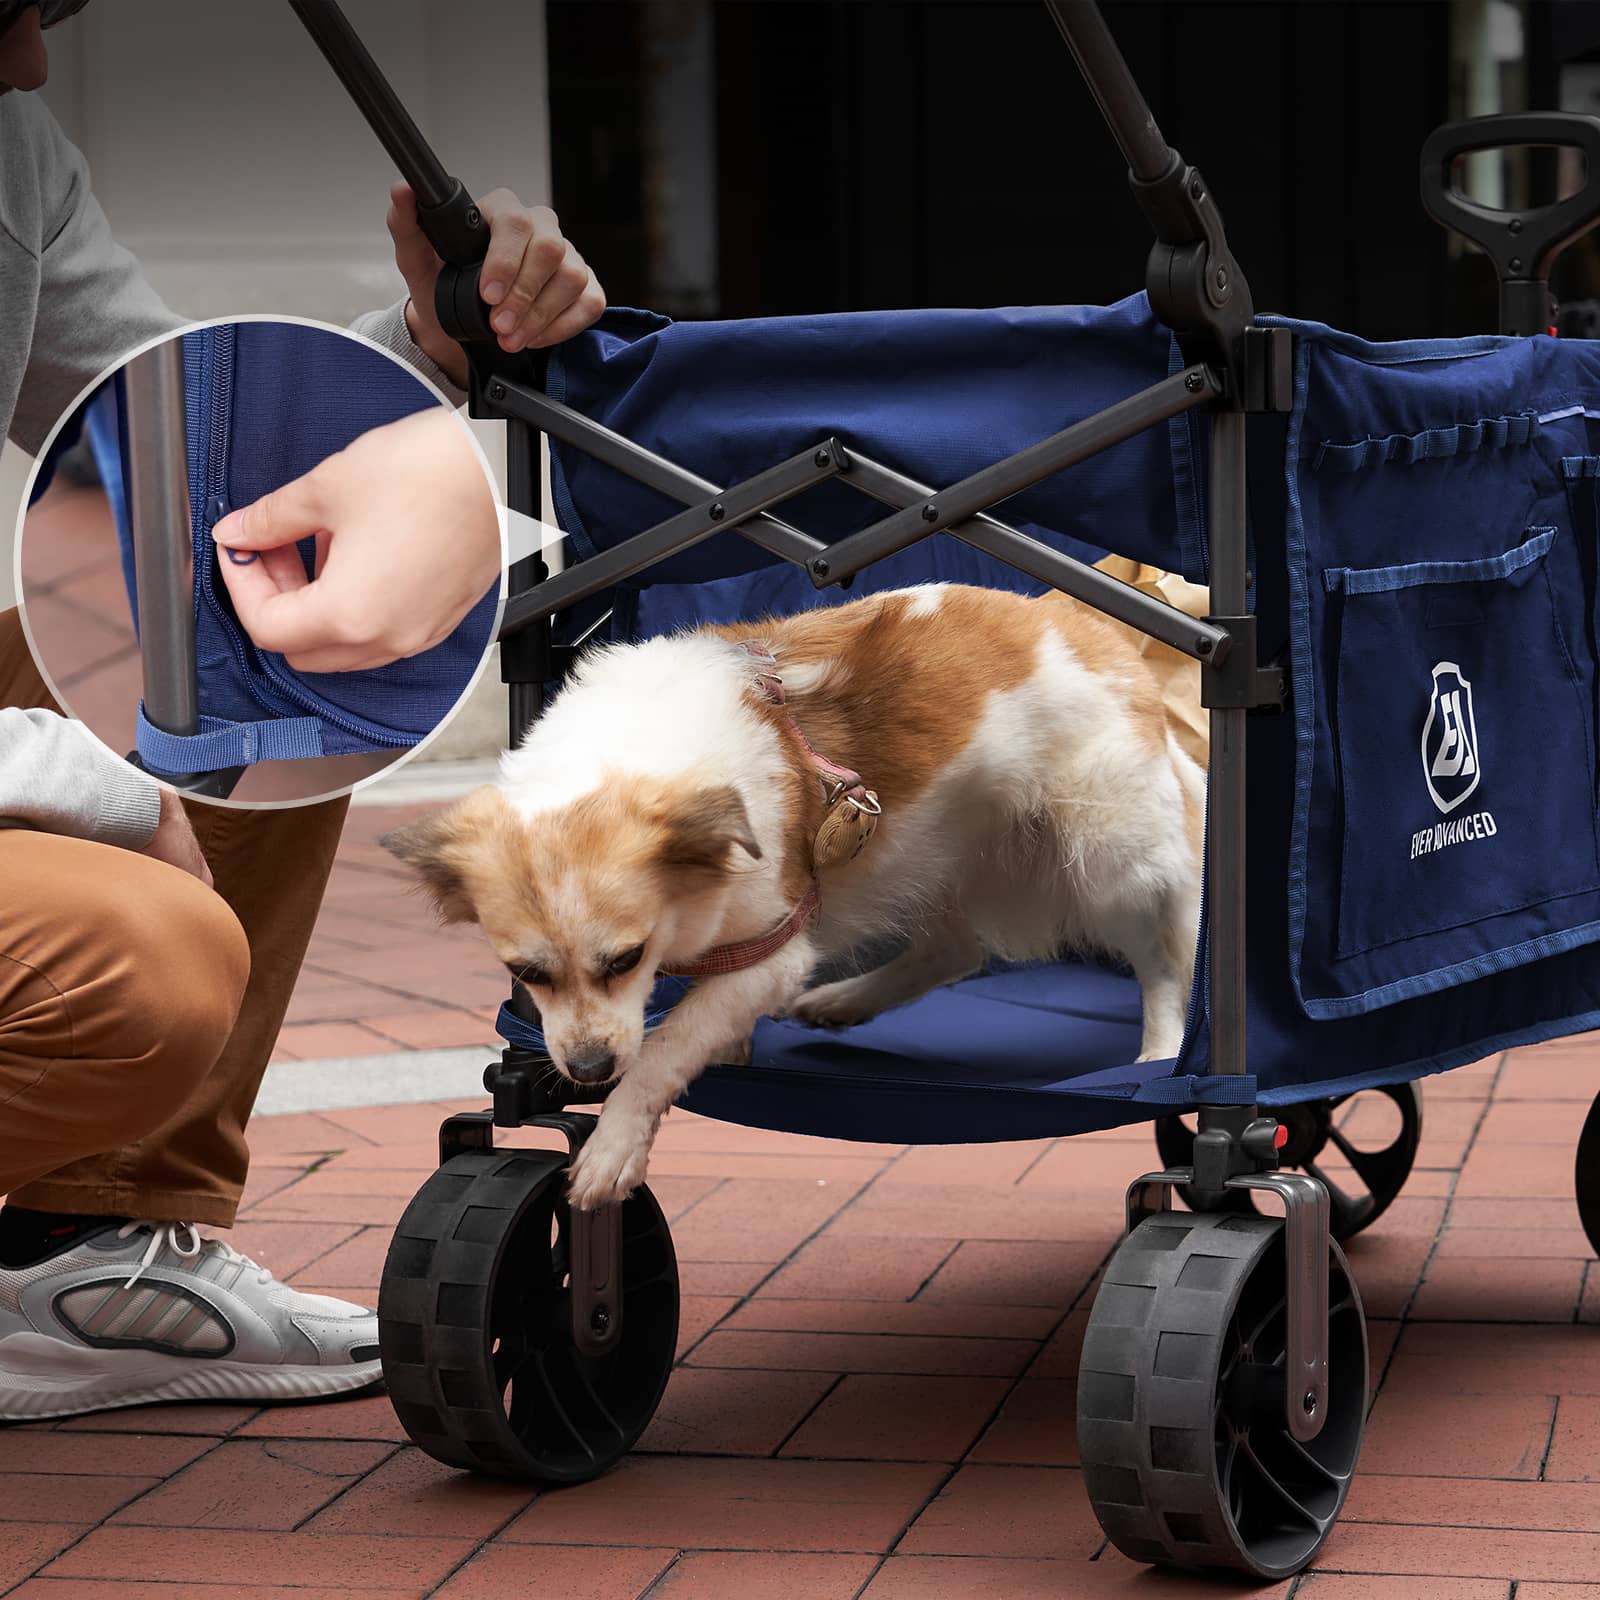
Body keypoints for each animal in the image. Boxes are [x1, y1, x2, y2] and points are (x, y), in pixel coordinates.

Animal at [384, 582, 1203, 1203]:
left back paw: (1161, 1054)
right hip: (922, 847)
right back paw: (844, 1000)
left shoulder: (771, 950)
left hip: (1107, 857)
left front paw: (615, 1142)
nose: (585, 1072)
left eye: (626, 959)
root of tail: (1084, 622)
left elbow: (664, 1047)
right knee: (954, 949)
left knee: (1164, 957)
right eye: (524, 973)